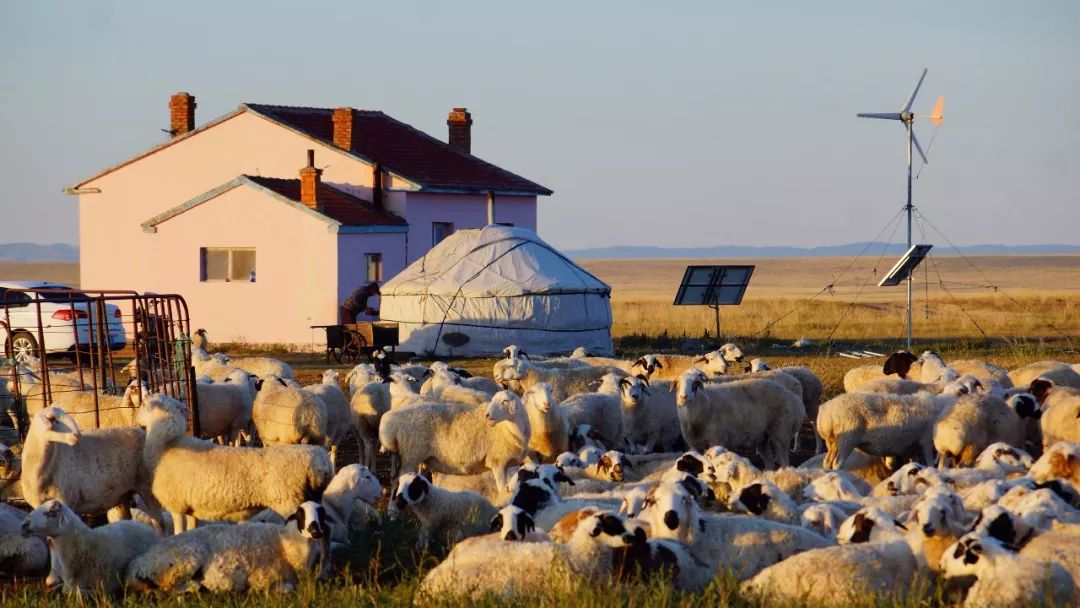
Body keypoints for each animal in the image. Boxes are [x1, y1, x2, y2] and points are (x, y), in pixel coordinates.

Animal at [125, 498, 328, 596]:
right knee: (168, 588)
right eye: (300, 514)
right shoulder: (262, 578)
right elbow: (286, 587)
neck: (285, 544)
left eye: (321, 513)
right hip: (182, 563)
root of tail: (132, 567)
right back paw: (199, 586)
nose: (316, 531)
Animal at [137, 395, 334, 533]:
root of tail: (318, 459)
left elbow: (178, 532)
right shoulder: (191, 508)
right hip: (312, 499)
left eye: (144, 405)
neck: (166, 445)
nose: (136, 419)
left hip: (290, 501)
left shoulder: (176, 506)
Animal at [380, 390, 531, 494]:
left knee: (395, 479)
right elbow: (501, 489)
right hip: (410, 456)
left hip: (407, 456)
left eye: (505, 401)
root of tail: (393, 419)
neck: (508, 429)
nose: (487, 415)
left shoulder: (508, 464)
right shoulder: (497, 462)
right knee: (398, 481)